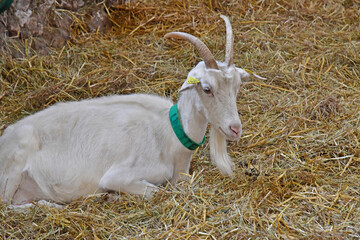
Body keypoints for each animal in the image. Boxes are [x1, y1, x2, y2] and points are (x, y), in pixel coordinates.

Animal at [0, 15, 253, 204]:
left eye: (237, 87)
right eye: (207, 88)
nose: (235, 129)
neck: (170, 134)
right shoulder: (119, 175)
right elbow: (157, 191)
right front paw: (113, 196)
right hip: (15, 163)